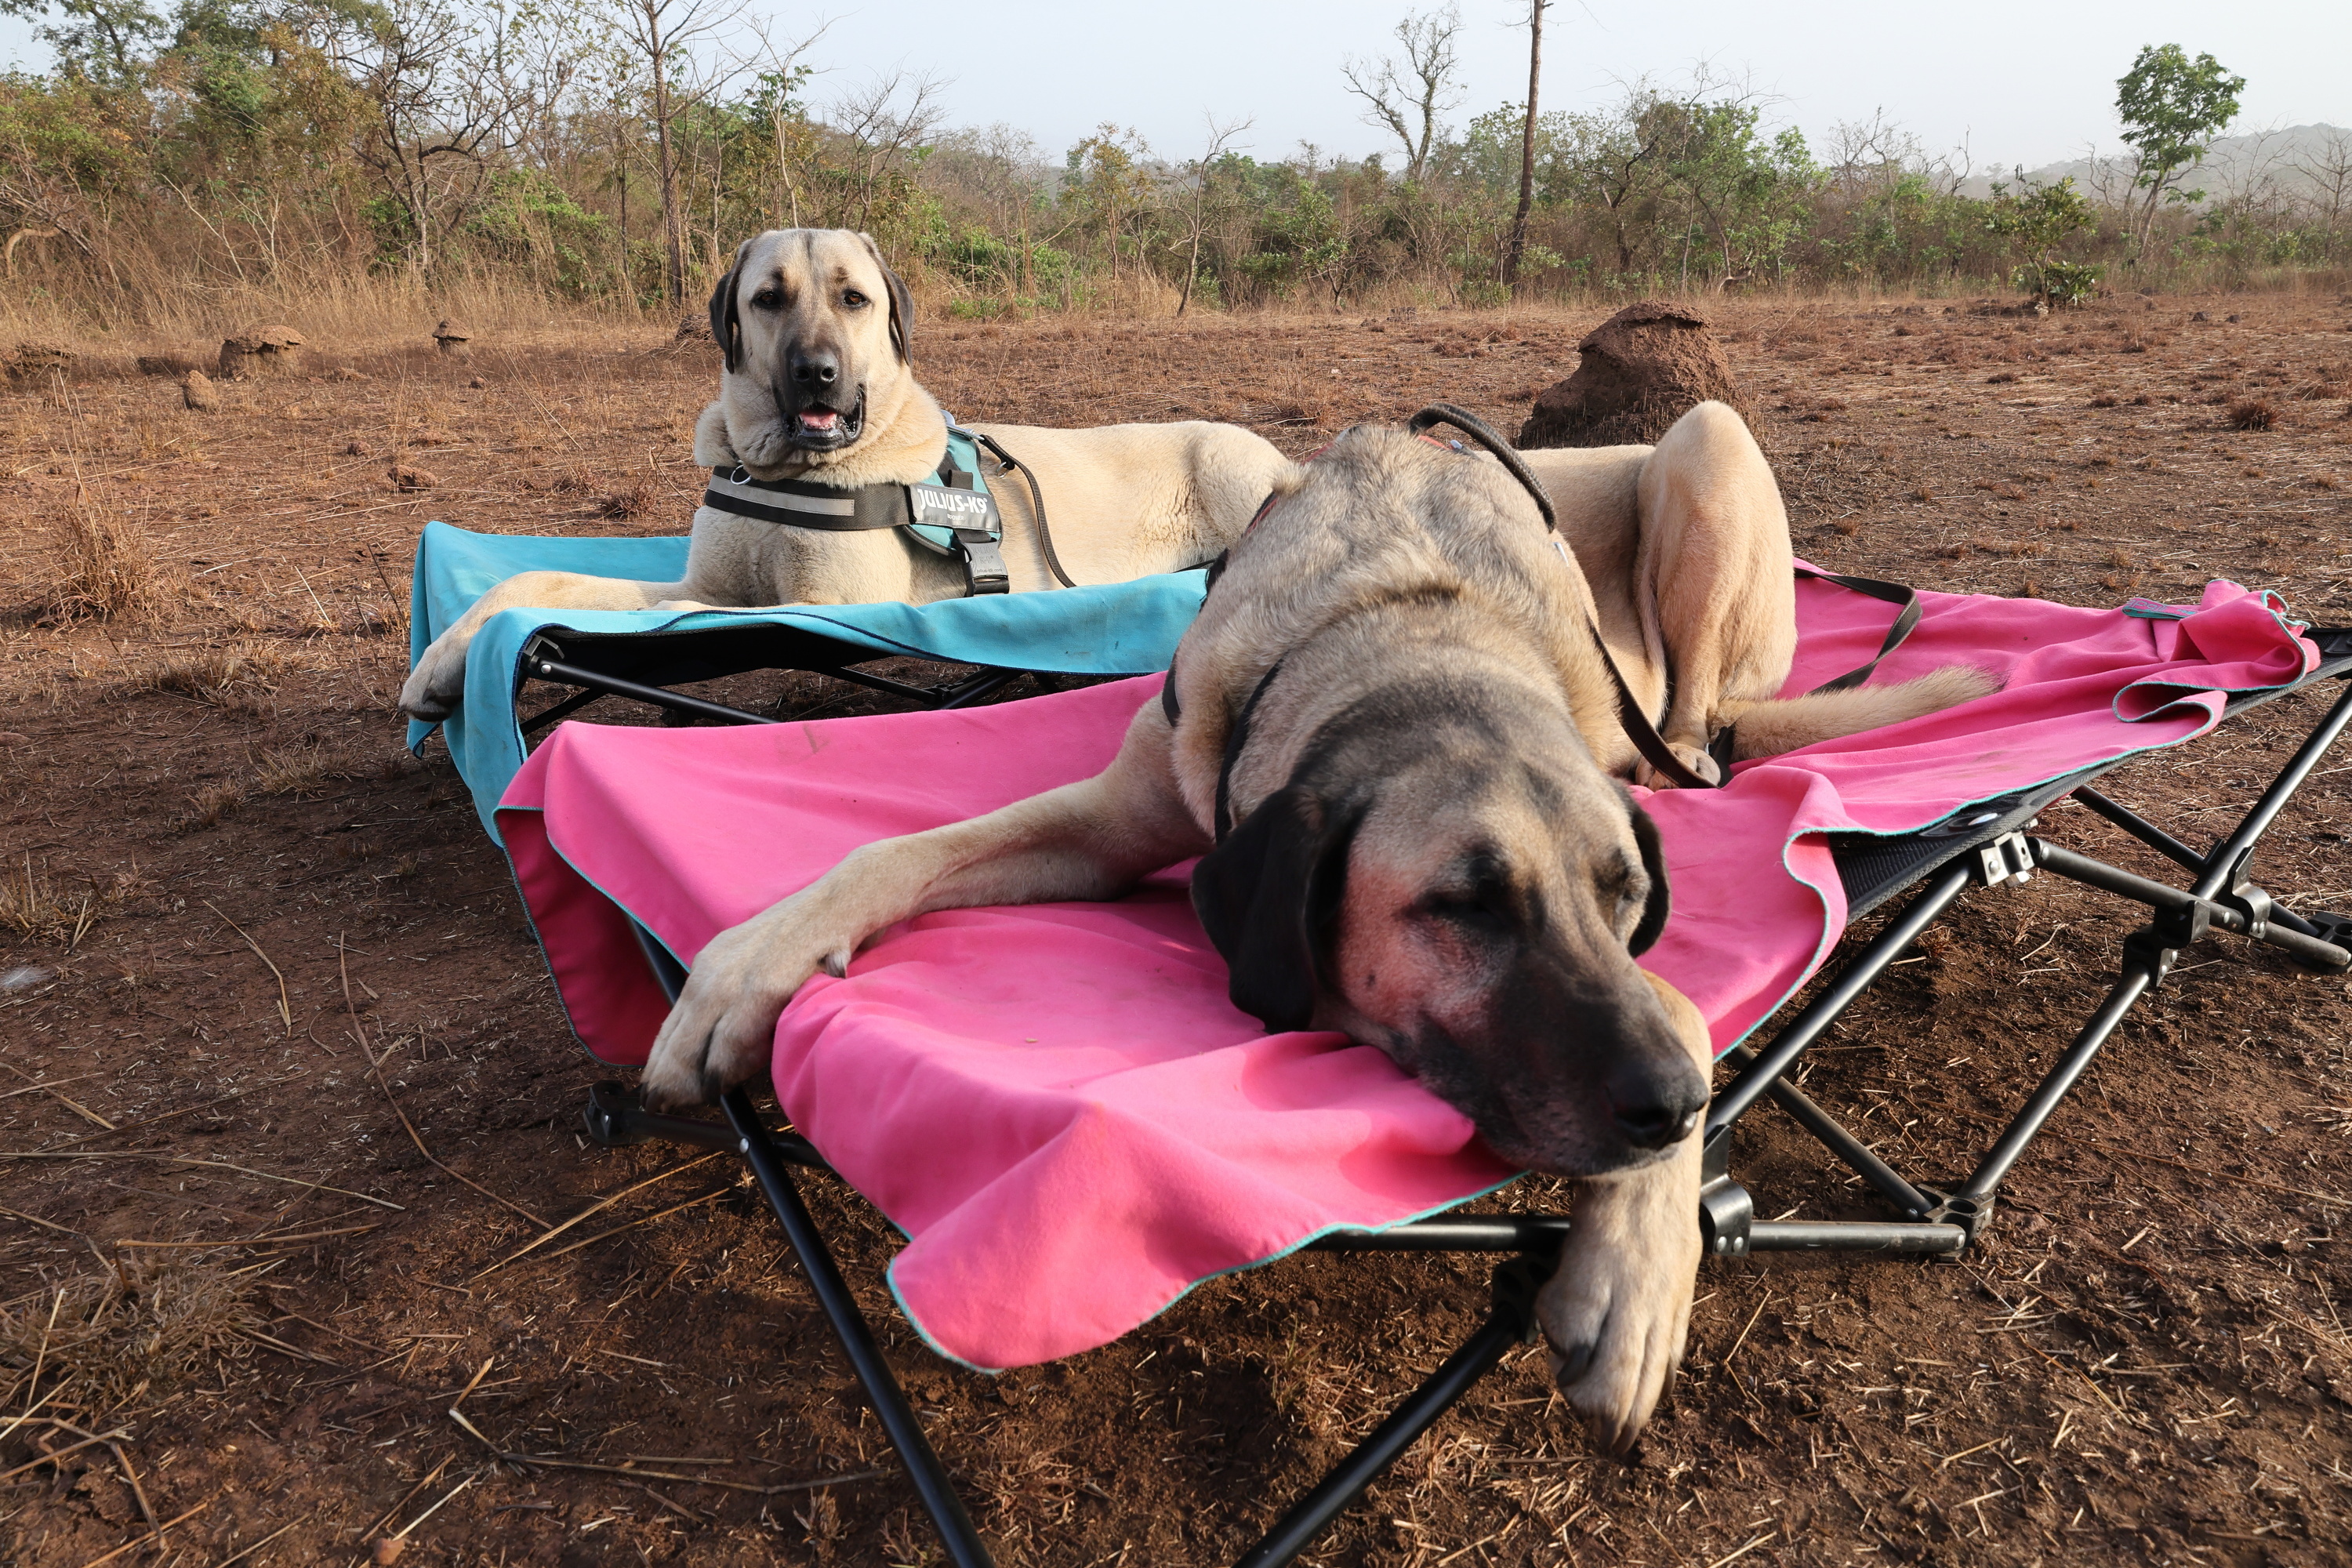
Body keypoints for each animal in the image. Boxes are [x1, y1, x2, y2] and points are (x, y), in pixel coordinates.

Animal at [398, 228, 1289, 720]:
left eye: (854, 299)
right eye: (767, 298)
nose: (817, 374)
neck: (777, 469)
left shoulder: (818, 604)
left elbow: (655, 609)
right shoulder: (707, 587)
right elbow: (540, 582)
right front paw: (440, 665)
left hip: (1232, 468)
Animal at [635, 401, 1995, 1451]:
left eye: (1624, 897)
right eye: (1463, 906)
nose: (1667, 1111)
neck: (1405, 623)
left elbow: (1678, 1002)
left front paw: (1638, 1282)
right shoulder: (1115, 815)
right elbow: (895, 852)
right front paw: (744, 971)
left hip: (1708, 452)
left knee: (1703, 730)